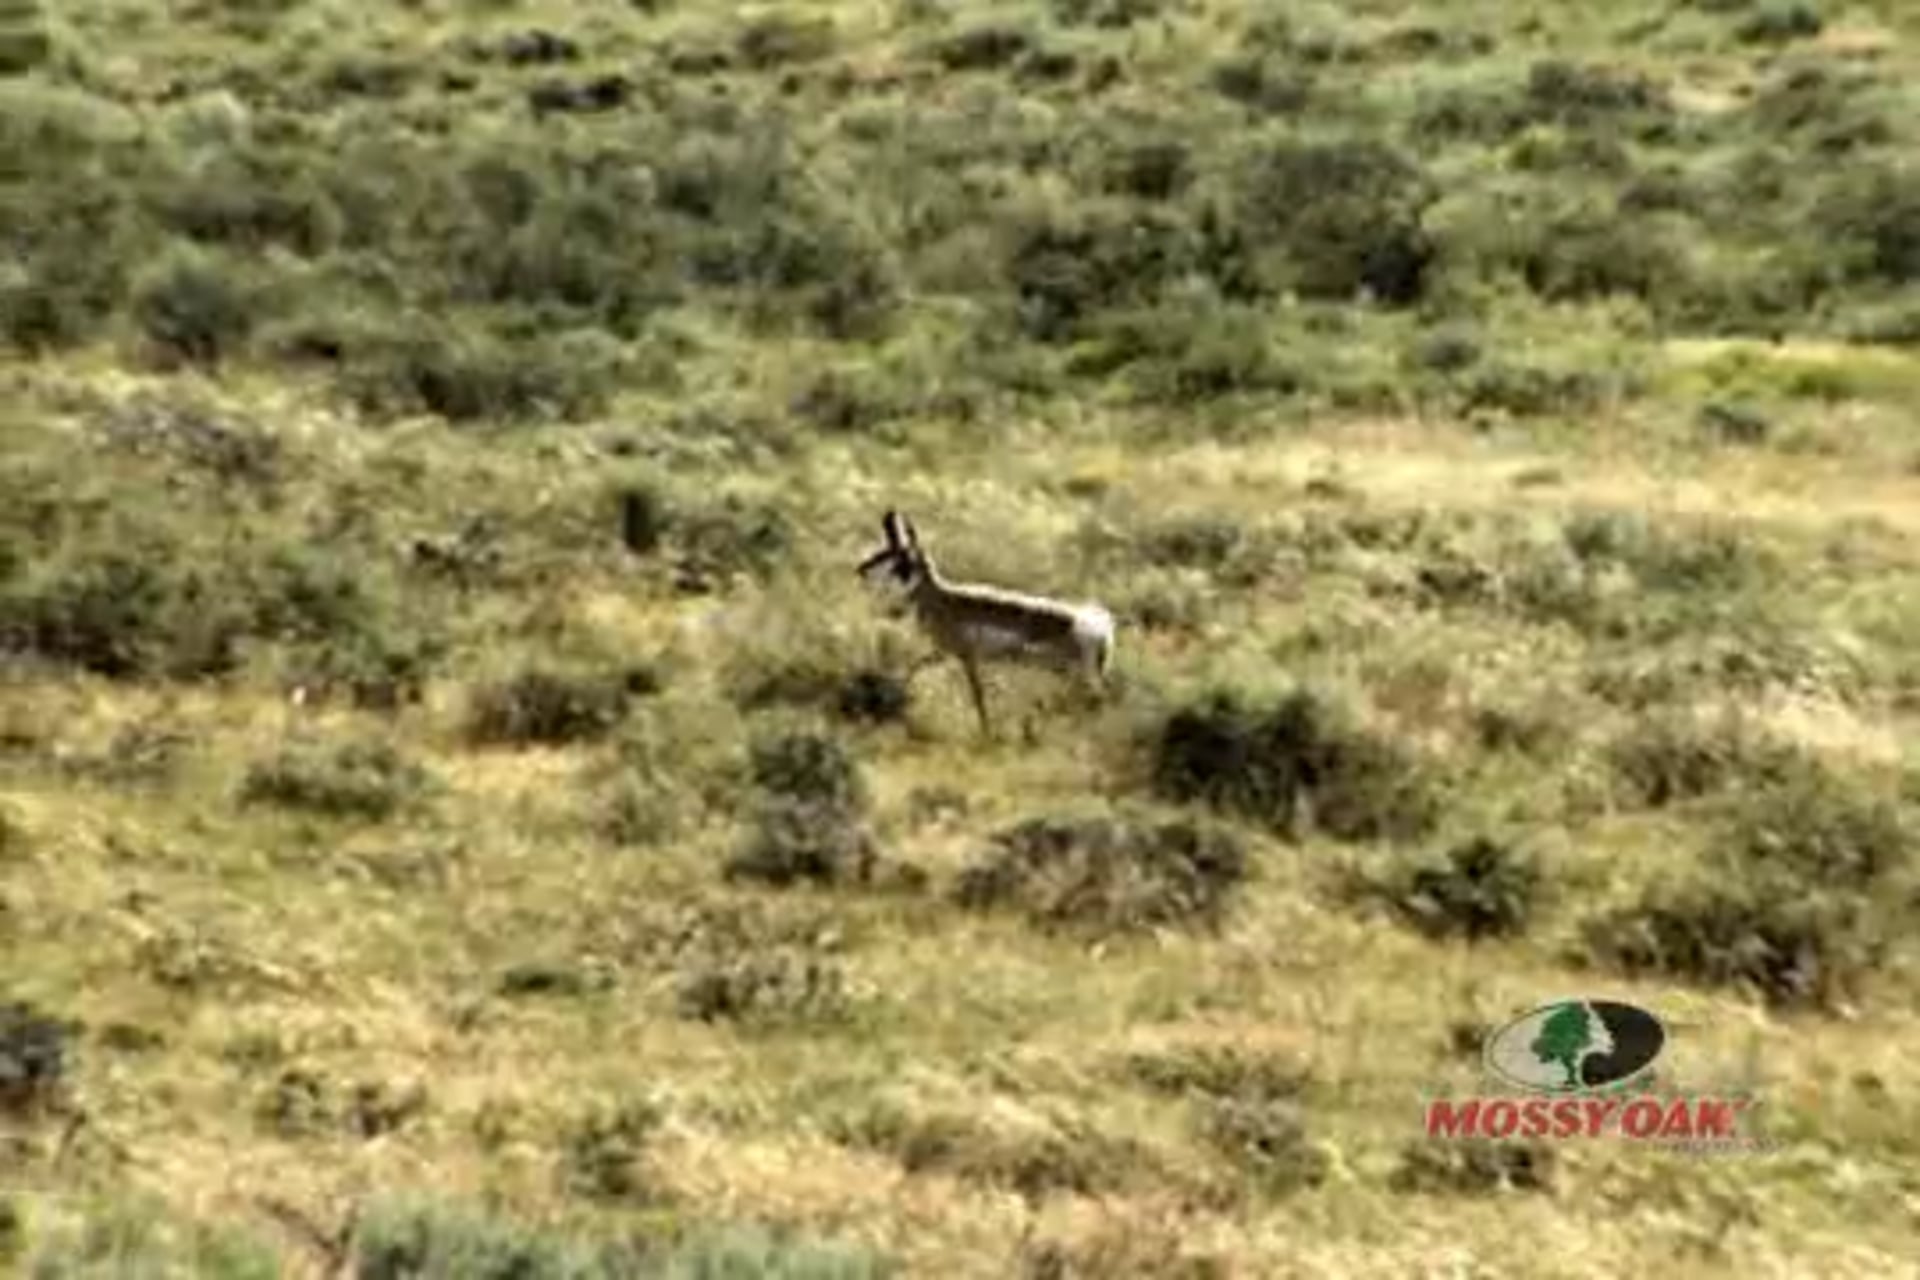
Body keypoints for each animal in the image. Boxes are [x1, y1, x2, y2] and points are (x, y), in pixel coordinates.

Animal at [856, 510, 1115, 738]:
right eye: (882, 550)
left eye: (891, 556)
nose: (860, 569)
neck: (943, 598)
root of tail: (1094, 625)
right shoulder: (943, 652)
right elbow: (914, 667)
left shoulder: (967, 657)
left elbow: (977, 695)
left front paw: (986, 732)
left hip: (1067, 672)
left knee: (1091, 698)